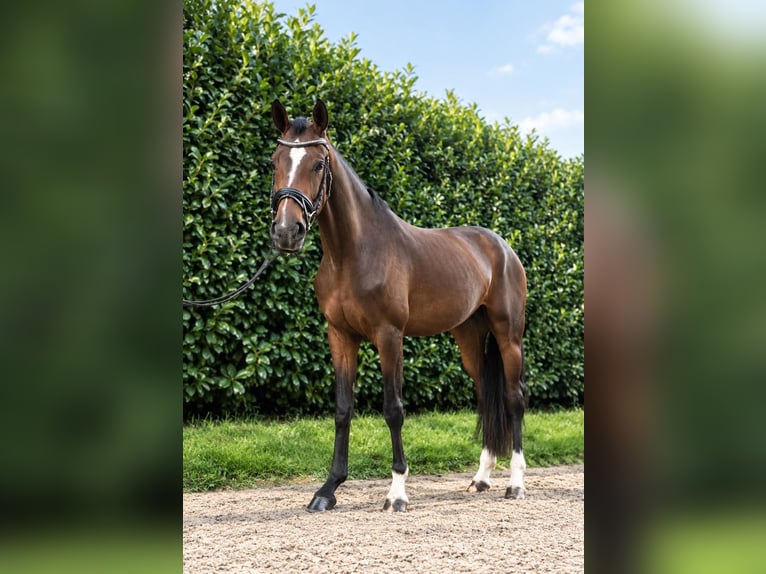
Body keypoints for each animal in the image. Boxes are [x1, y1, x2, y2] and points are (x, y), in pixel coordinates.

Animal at [269, 99, 528, 512]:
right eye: (274, 161)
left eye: (319, 164)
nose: (286, 232)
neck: (353, 253)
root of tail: (501, 247)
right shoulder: (340, 336)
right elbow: (343, 409)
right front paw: (328, 490)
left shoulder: (389, 336)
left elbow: (393, 409)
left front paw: (397, 492)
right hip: (469, 338)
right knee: (485, 396)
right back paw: (481, 478)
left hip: (508, 335)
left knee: (514, 398)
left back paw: (515, 483)